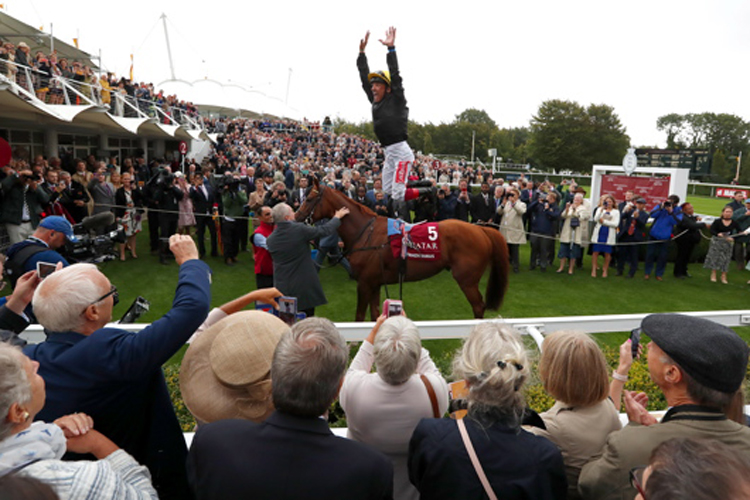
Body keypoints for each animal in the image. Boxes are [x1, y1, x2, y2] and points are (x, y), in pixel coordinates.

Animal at [294, 178, 512, 322]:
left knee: (478, 307)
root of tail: (480, 229)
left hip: (467, 280)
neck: (366, 232)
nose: (296, 216)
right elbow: (375, 314)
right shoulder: (374, 282)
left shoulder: (364, 283)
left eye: (310, 199)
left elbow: (359, 316)